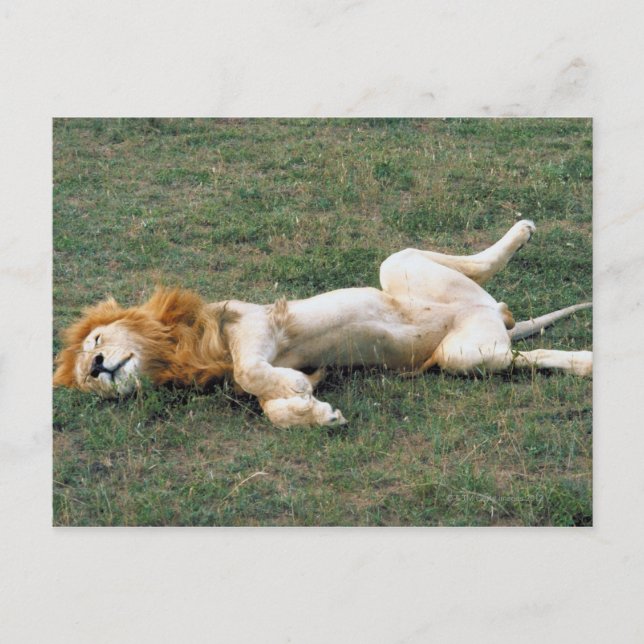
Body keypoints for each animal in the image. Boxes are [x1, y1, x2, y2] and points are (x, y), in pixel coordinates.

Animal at [53, 220, 592, 428]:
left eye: (97, 339)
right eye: (87, 381)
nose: (97, 365)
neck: (178, 353)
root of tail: (492, 316)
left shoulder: (254, 323)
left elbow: (253, 369)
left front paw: (298, 393)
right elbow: (273, 406)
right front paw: (317, 412)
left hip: (403, 270)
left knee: (476, 265)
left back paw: (521, 232)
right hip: (467, 356)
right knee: (526, 353)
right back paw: (586, 363)